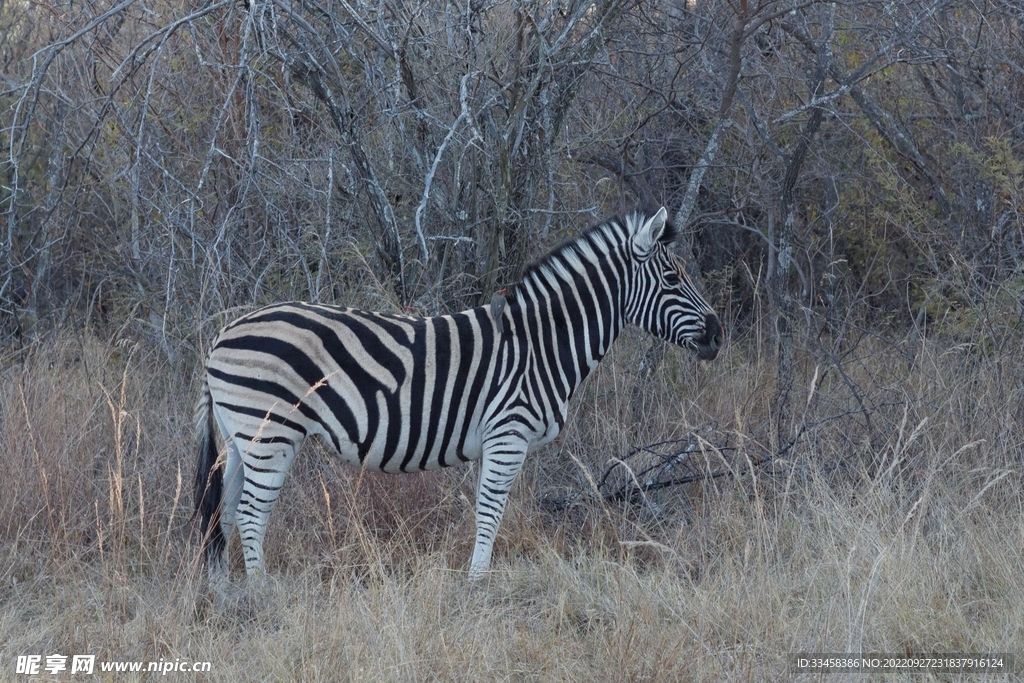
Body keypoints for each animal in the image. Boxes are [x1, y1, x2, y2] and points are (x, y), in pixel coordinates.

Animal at [193, 205, 720, 585]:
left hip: (241, 438)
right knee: (249, 515)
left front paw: (476, 579)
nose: (719, 334)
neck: (540, 345)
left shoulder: (497, 439)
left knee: (224, 513)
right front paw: (477, 584)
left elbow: (487, 509)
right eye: (673, 279)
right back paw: (262, 595)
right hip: (269, 434)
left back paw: (225, 595)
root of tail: (221, 334)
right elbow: (490, 511)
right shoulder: (508, 432)